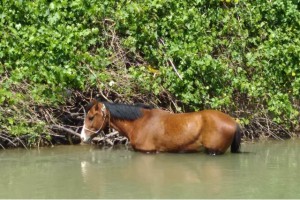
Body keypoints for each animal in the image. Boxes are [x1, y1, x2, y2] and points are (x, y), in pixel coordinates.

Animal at [80, 100, 241, 155]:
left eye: (91, 117)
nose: (82, 137)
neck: (140, 123)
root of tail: (233, 122)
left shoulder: (148, 152)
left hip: (213, 151)